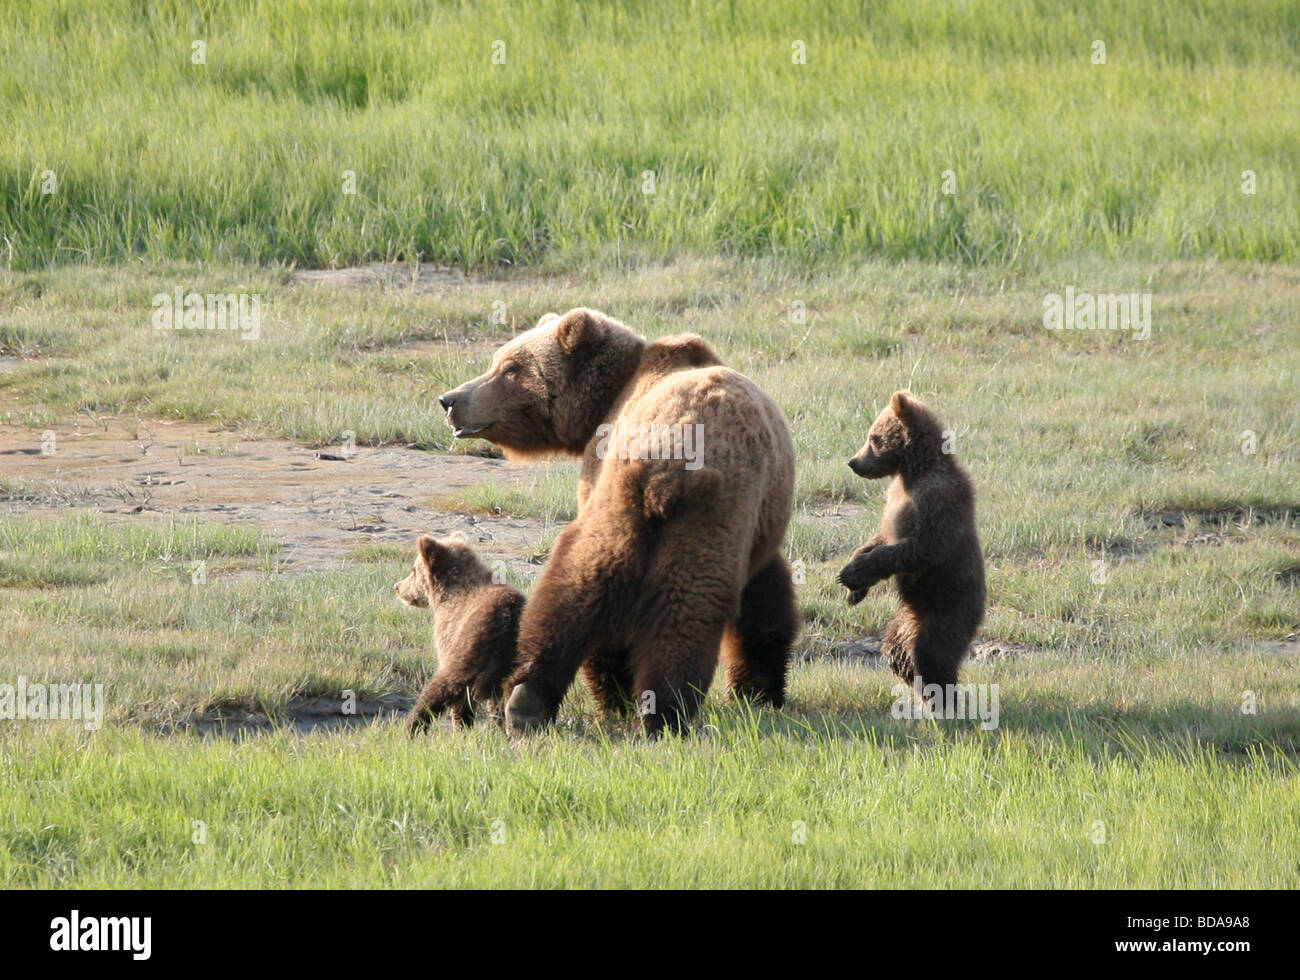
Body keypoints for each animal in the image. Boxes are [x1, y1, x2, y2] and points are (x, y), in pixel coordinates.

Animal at [394, 533, 524, 734]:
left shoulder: (450, 631)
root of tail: (506, 617)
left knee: (446, 684)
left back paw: (413, 725)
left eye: (413, 570)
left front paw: (460, 724)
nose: (398, 586)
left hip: (471, 646)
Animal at [438, 309, 798, 736]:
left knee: (605, 585)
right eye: (499, 361)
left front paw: (757, 689)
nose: (450, 399)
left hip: (673, 506)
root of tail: (669, 459)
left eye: (509, 368)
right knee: (620, 587)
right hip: (688, 512)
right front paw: (759, 690)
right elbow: (765, 599)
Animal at [837, 391, 986, 692]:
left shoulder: (937, 498)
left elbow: (923, 547)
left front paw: (853, 574)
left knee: (932, 651)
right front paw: (853, 586)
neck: (912, 472)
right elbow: (880, 536)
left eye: (874, 438)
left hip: (949, 607)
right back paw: (906, 670)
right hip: (904, 617)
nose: (853, 462)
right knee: (894, 647)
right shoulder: (895, 499)